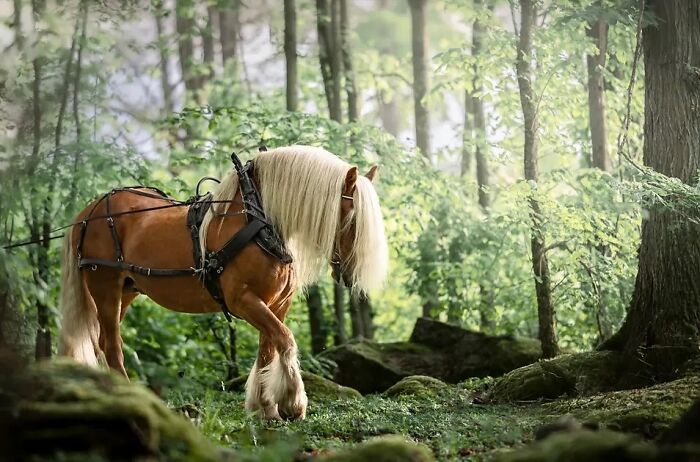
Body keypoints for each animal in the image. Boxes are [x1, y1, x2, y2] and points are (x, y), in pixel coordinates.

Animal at [58, 145, 389, 421]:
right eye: (351, 219)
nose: (349, 274)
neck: (258, 223)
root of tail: (89, 212)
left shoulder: (275, 305)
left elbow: (268, 350)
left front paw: (266, 408)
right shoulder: (244, 301)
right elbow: (286, 341)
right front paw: (293, 403)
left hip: (126, 291)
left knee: (103, 341)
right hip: (105, 287)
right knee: (112, 346)